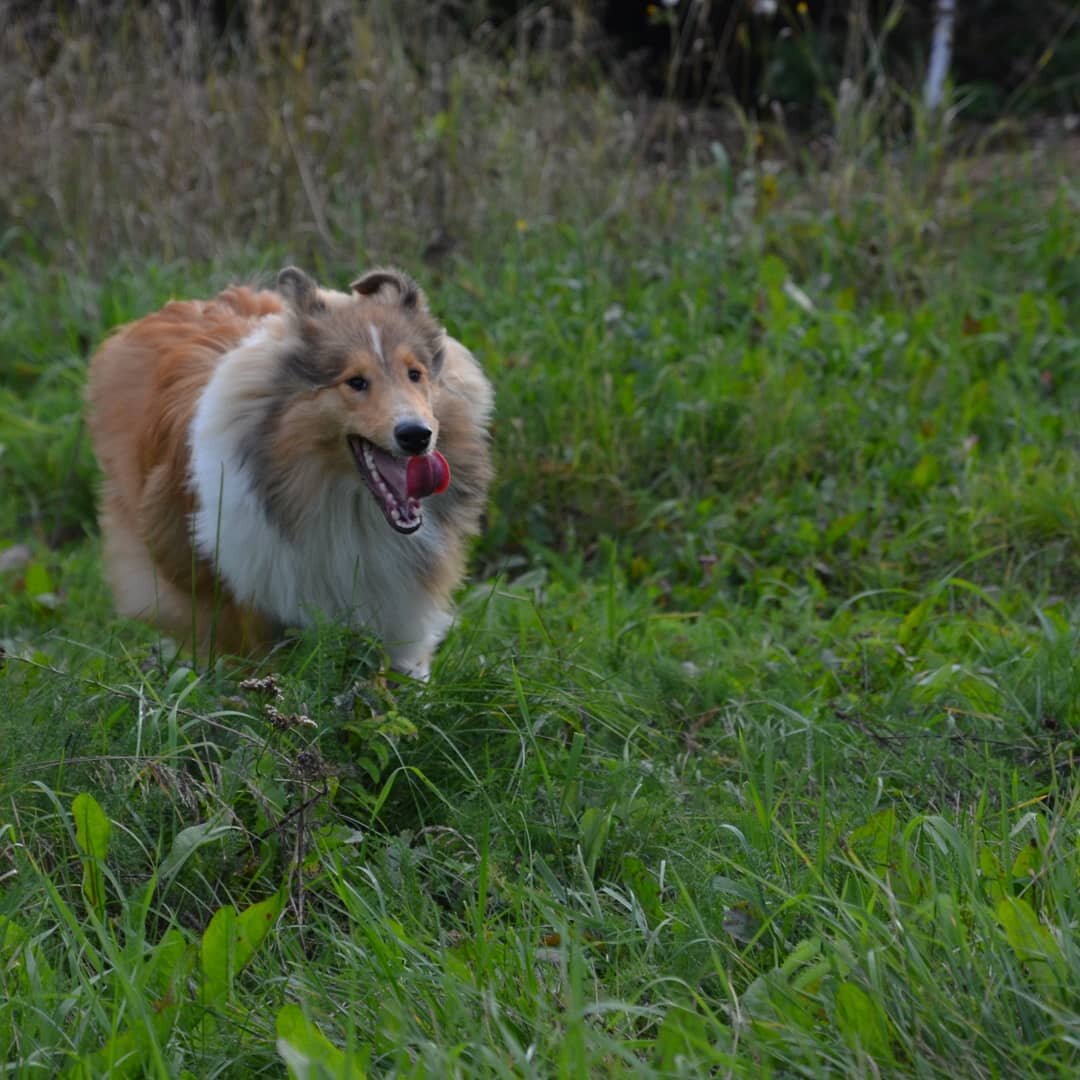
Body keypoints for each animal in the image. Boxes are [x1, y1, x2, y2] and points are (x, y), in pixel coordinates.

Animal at [88, 266, 494, 678]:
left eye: (415, 374)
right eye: (356, 381)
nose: (416, 435)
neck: (349, 510)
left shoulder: (401, 611)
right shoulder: (259, 605)